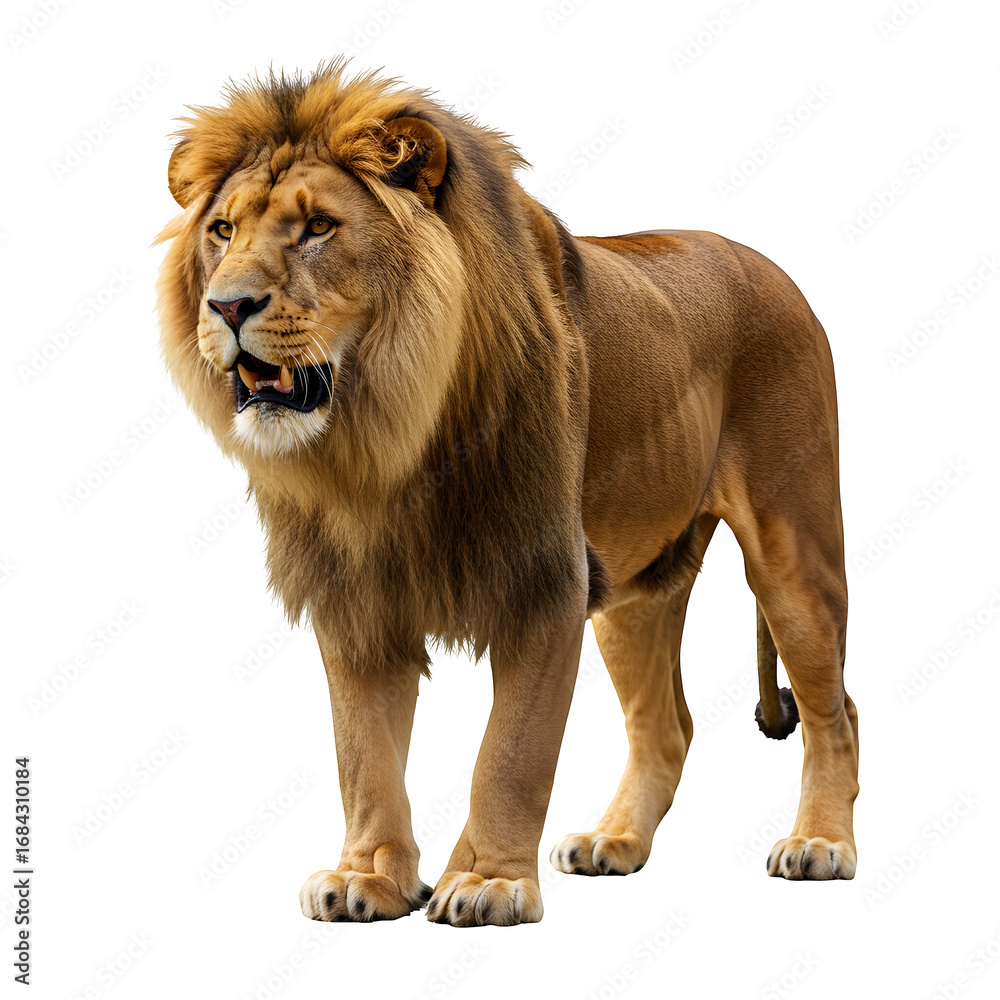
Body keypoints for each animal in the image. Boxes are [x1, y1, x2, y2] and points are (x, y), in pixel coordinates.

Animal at [156, 62, 859, 926]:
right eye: (222, 231)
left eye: (318, 227)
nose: (226, 305)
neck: (385, 442)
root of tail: (771, 266)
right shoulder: (355, 600)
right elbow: (364, 757)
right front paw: (369, 879)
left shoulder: (543, 580)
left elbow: (511, 754)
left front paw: (488, 880)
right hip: (637, 593)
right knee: (667, 726)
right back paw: (613, 842)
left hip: (793, 546)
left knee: (835, 709)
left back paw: (820, 844)